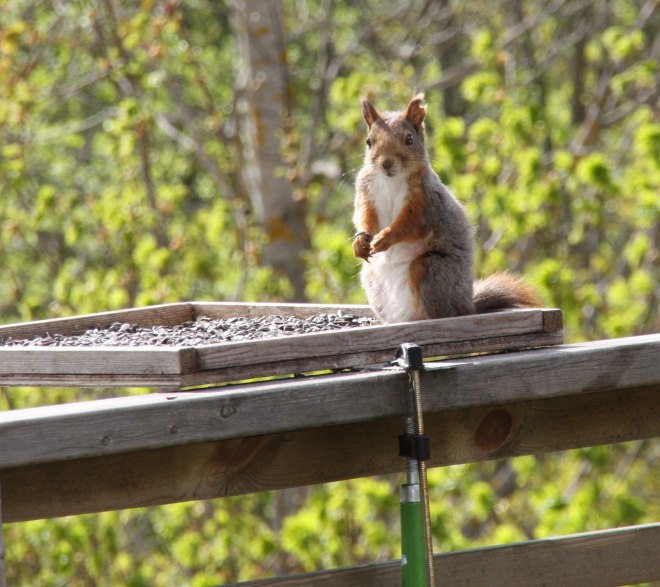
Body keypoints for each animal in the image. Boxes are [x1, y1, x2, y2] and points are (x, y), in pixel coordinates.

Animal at [352, 92, 541, 323]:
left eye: (409, 139)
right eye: (369, 141)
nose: (386, 163)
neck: (390, 181)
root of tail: (468, 306)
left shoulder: (426, 203)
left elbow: (409, 225)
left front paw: (385, 237)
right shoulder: (366, 191)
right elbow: (364, 216)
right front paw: (361, 241)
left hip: (430, 270)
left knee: (440, 310)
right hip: (371, 277)